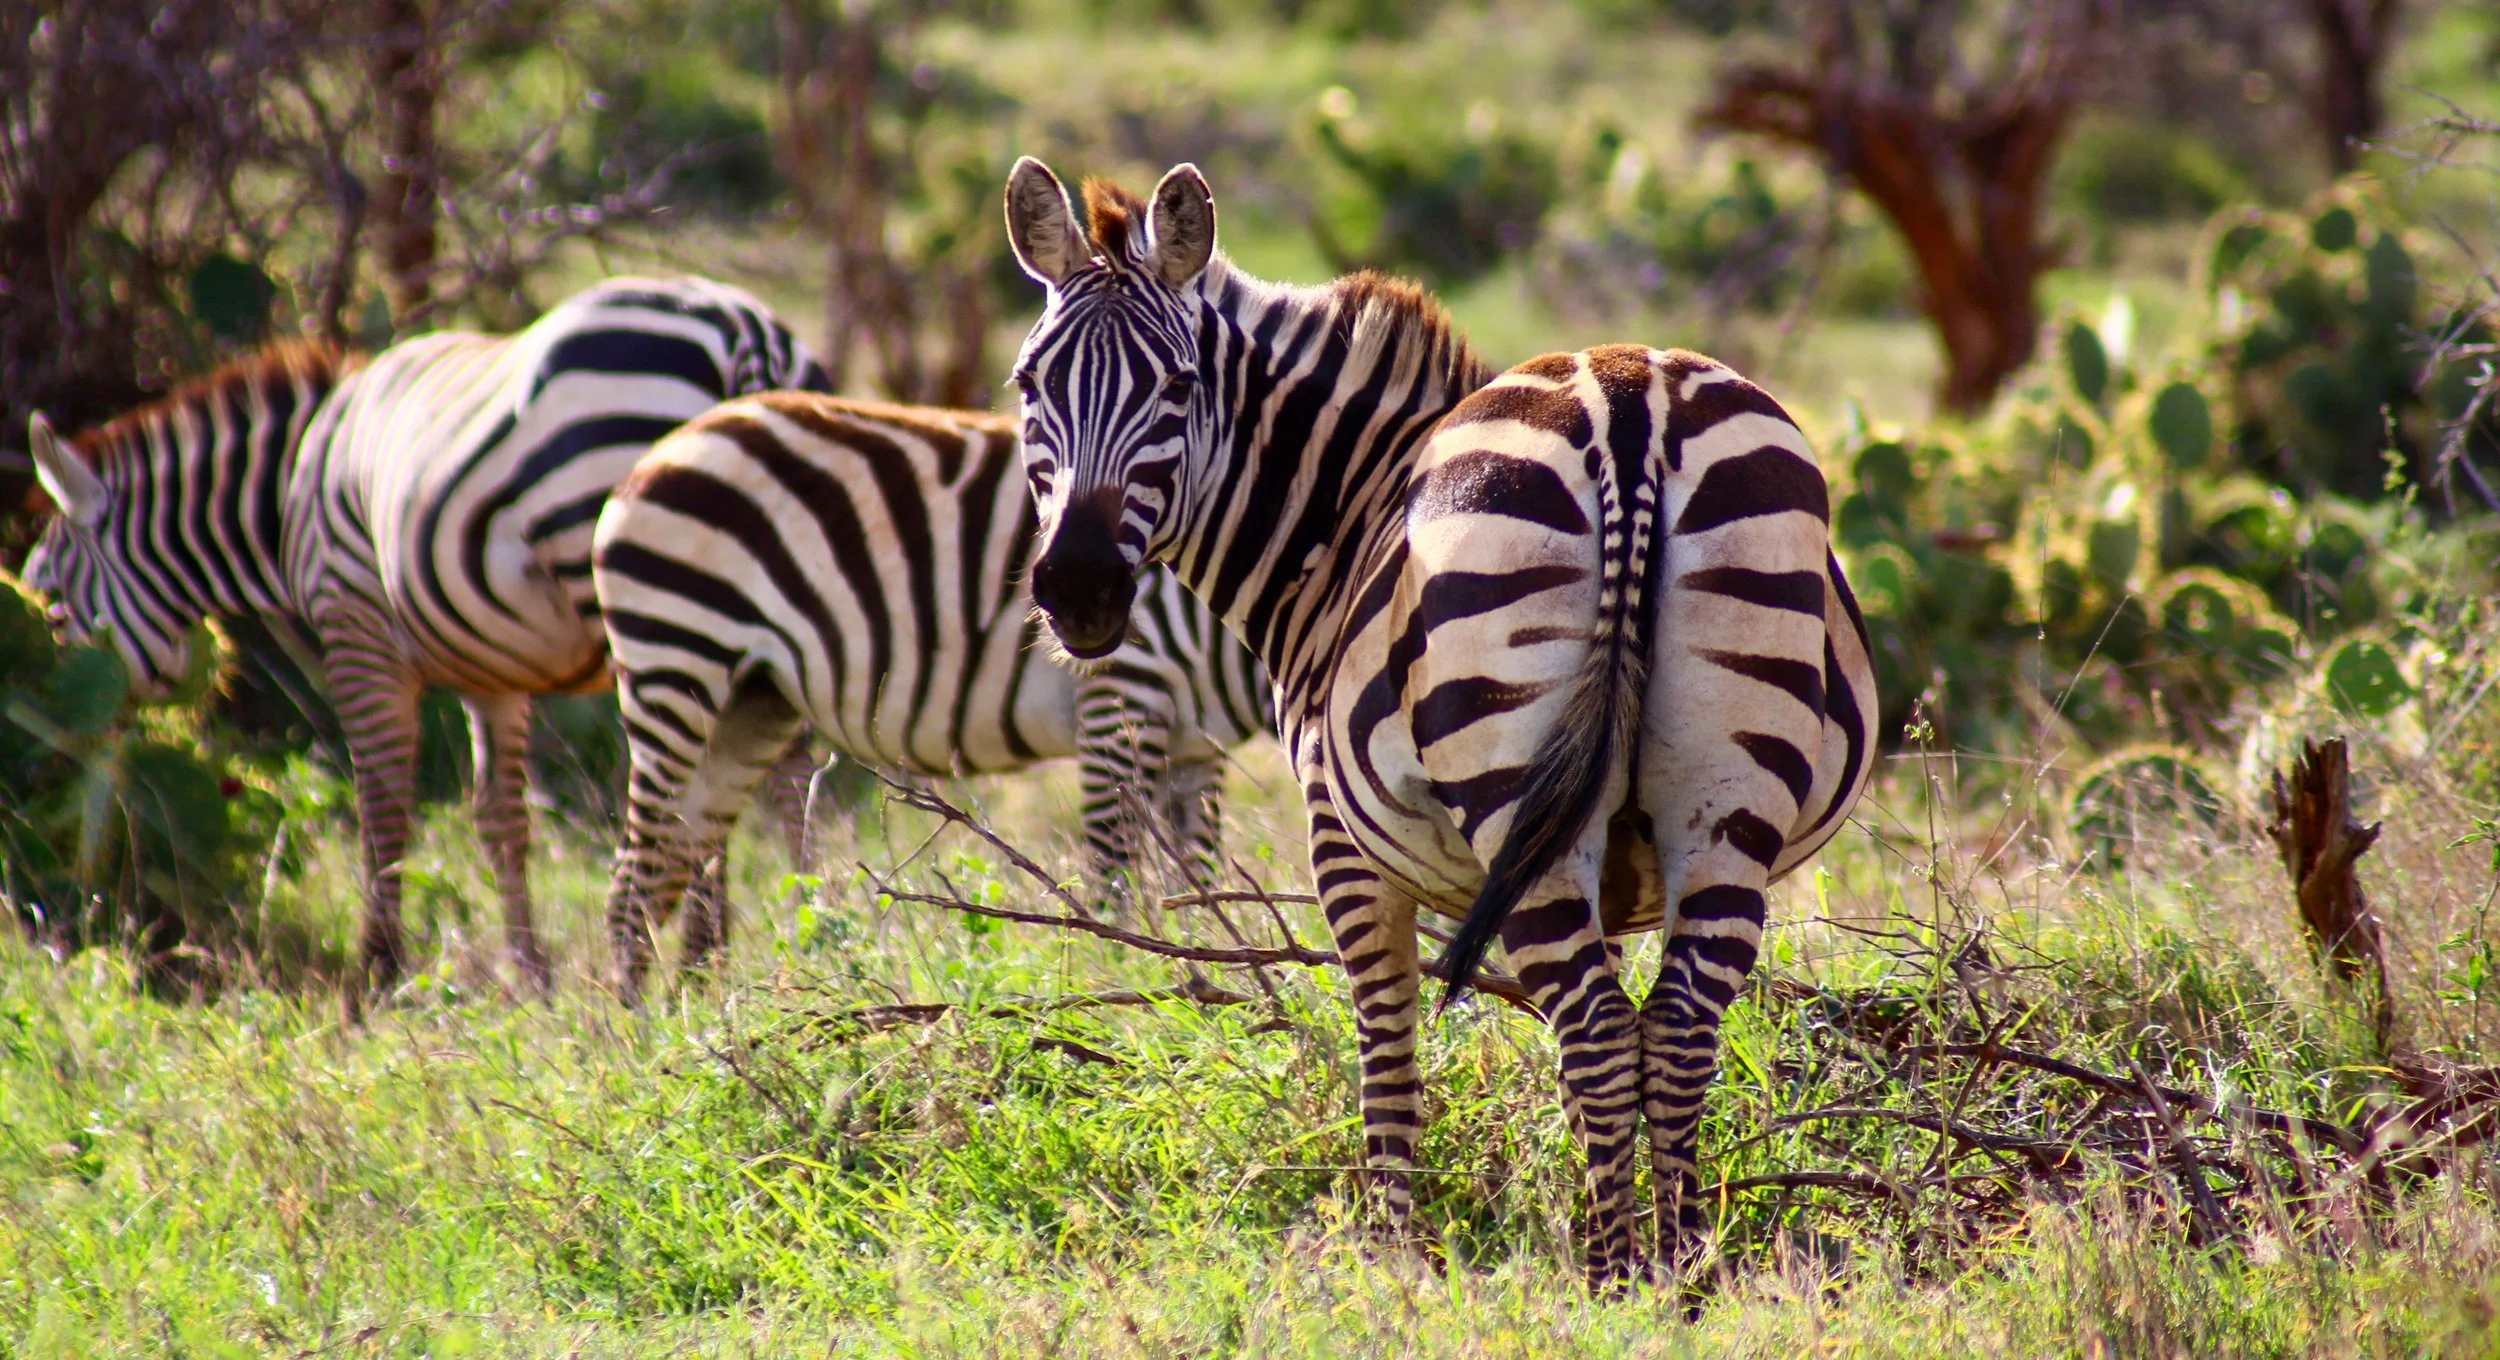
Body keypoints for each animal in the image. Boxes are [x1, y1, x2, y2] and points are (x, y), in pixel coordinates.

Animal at [22, 276, 828, 996]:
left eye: (51, 611)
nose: (46, 763)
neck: (287, 490)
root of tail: (740, 331)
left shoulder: (357, 635)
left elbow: (381, 807)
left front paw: (377, 977)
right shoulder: (491, 669)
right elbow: (501, 821)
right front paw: (529, 976)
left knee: (708, 774)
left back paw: (717, 953)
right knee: (777, 767)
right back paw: (788, 931)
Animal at [590, 391, 1272, 995]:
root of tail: (670, 446)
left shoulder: (1194, 742)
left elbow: (1196, 876)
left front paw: (1202, 963)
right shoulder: (1122, 692)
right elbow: (1118, 877)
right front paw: (1129, 979)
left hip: (751, 704)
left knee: (673, 856)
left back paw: (688, 1022)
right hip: (677, 660)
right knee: (628, 882)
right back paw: (635, 1040)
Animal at [1001, 160, 1875, 1285]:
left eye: (1178, 388)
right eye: (1030, 386)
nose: (1078, 590)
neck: (1342, 516)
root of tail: (1630, 403)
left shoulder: (1341, 840)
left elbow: (1385, 1038)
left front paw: (1387, 1251)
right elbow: (1595, 1047)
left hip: (1511, 788)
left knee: (1599, 1032)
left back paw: (1612, 1280)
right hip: (1723, 798)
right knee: (1670, 1029)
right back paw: (1677, 1273)